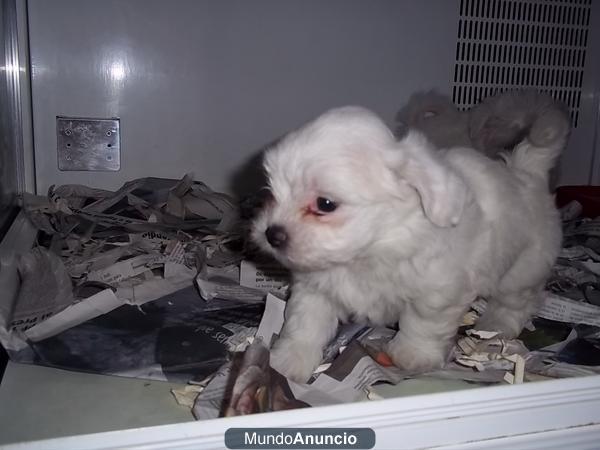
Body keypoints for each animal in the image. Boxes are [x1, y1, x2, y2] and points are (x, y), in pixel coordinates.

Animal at [251, 106, 564, 384]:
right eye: (270, 193)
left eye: (325, 204)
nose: (272, 234)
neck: (373, 247)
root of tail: (527, 174)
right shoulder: (316, 287)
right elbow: (305, 322)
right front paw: (288, 360)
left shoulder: (437, 292)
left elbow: (424, 323)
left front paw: (413, 354)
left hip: (521, 270)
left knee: (517, 302)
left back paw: (496, 325)